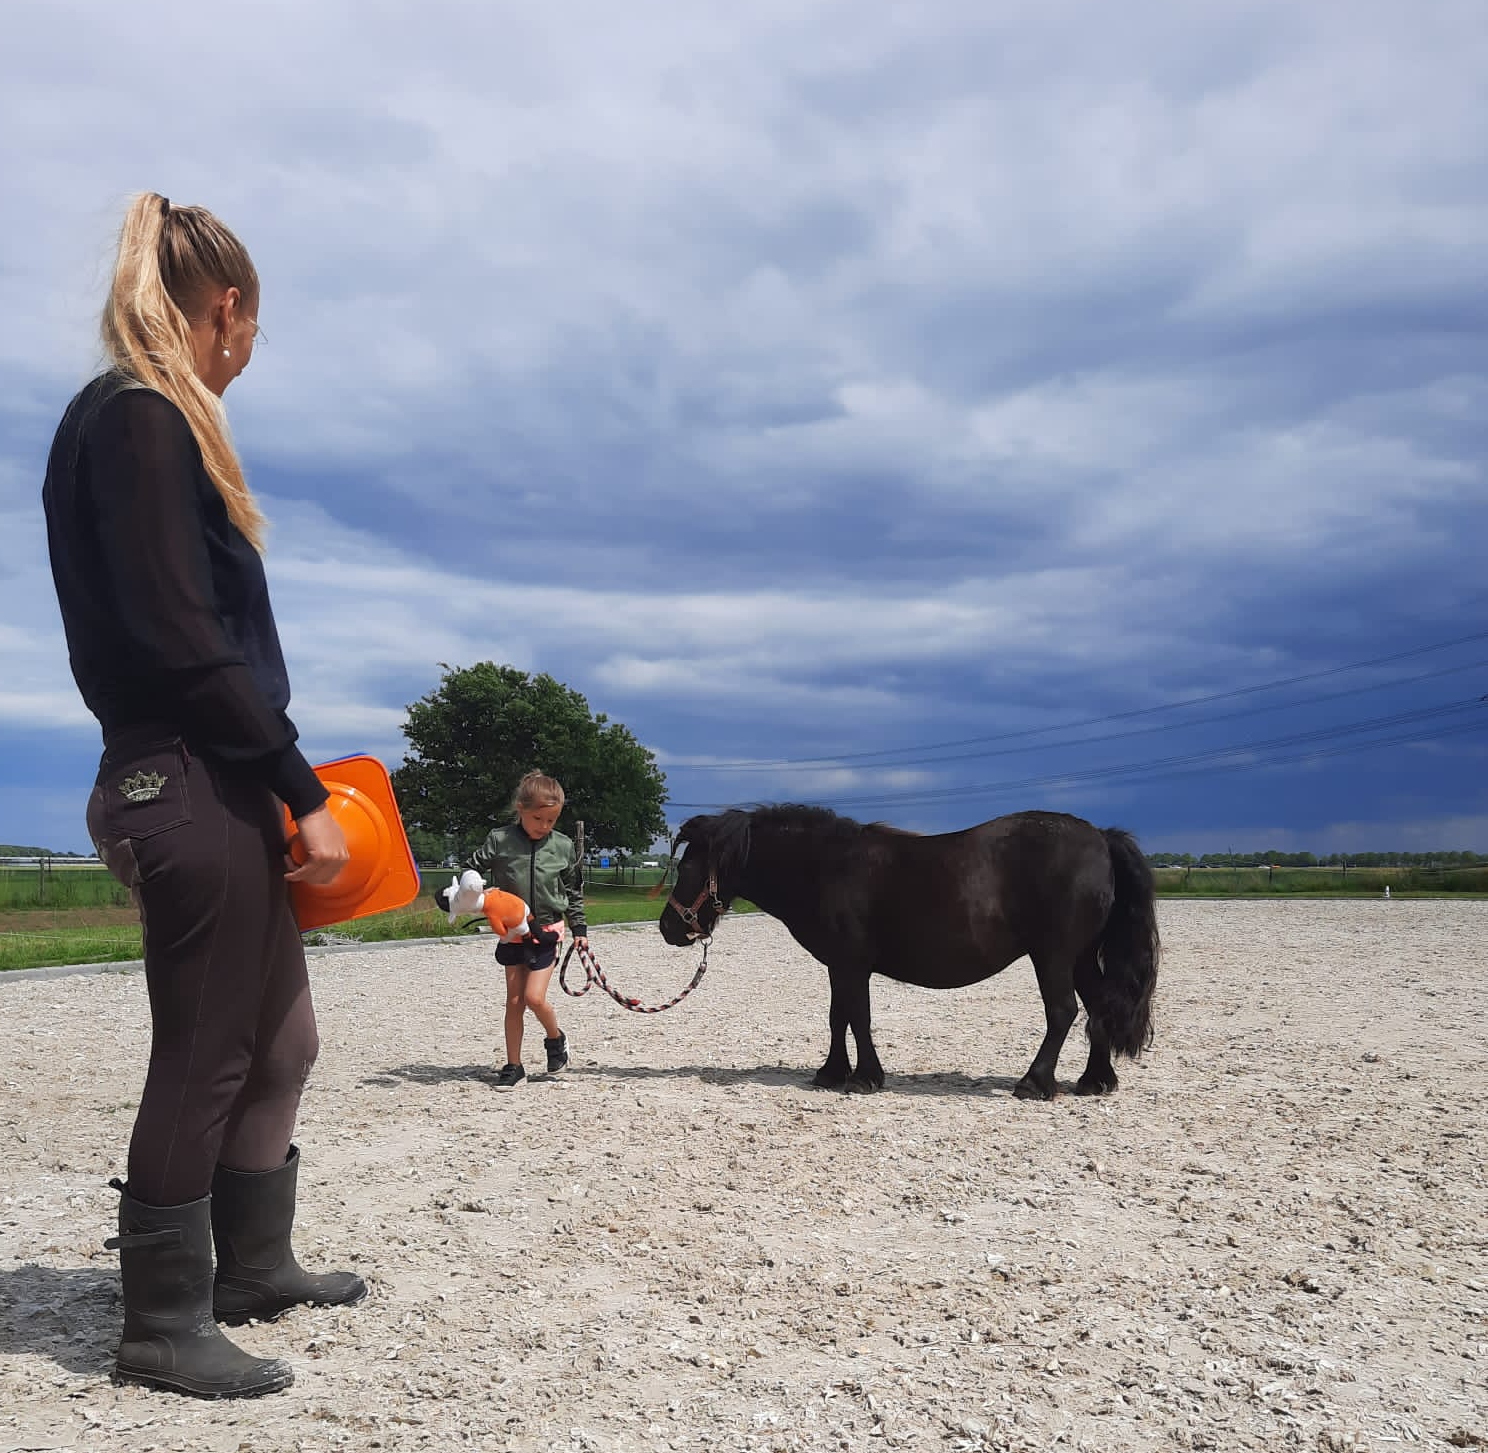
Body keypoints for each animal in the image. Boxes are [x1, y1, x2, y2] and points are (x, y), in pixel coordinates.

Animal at [658, 805, 1159, 1099]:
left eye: (688, 865)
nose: (668, 927)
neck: (825, 865)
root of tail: (1101, 838)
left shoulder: (851, 963)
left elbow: (857, 1017)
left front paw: (865, 1077)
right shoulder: (841, 966)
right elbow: (839, 1016)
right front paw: (831, 1072)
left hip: (1053, 956)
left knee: (1062, 1012)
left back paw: (1035, 1083)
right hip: (1080, 958)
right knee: (1099, 1008)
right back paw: (1095, 1081)